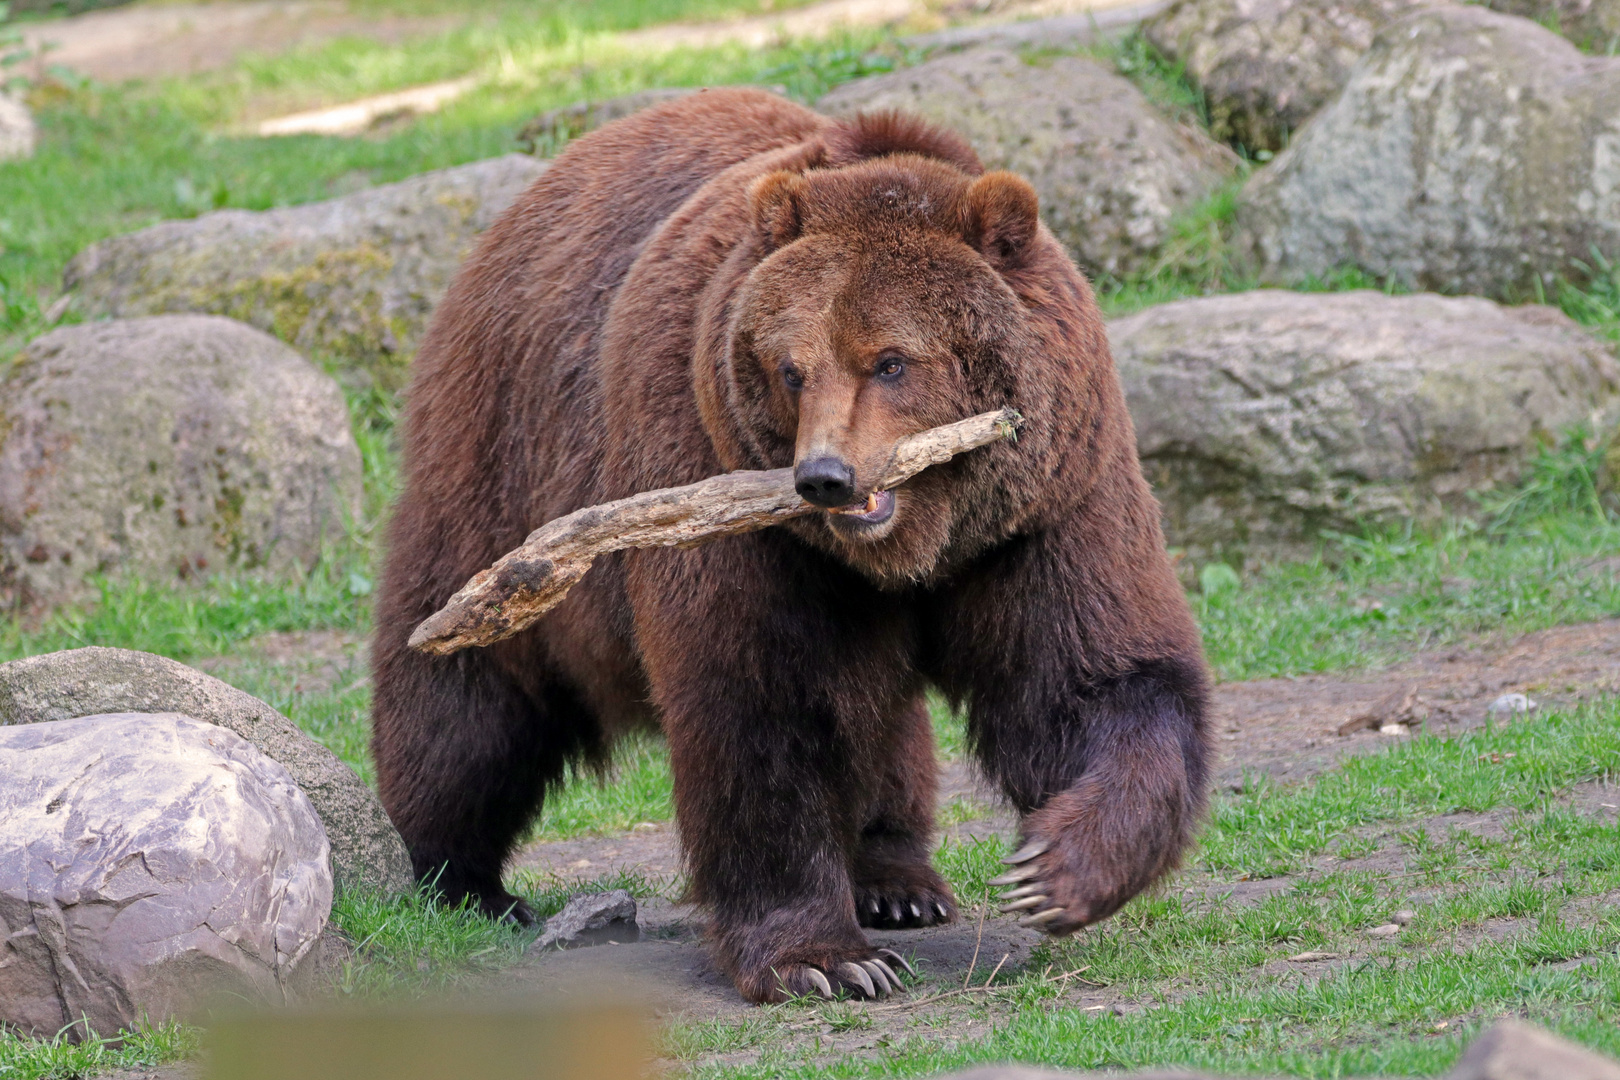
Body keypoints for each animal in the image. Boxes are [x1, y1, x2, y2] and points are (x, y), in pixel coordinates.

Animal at [375, 84, 1205, 1003]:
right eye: (791, 367)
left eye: (891, 361)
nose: (826, 477)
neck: (918, 545)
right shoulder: (724, 487)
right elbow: (762, 702)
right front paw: (823, 957)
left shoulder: (1045, 505)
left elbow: (1092, 674)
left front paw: (1052, 869)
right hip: (501, 467)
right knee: (467, 698)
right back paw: (459, 877)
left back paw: (896, 881)